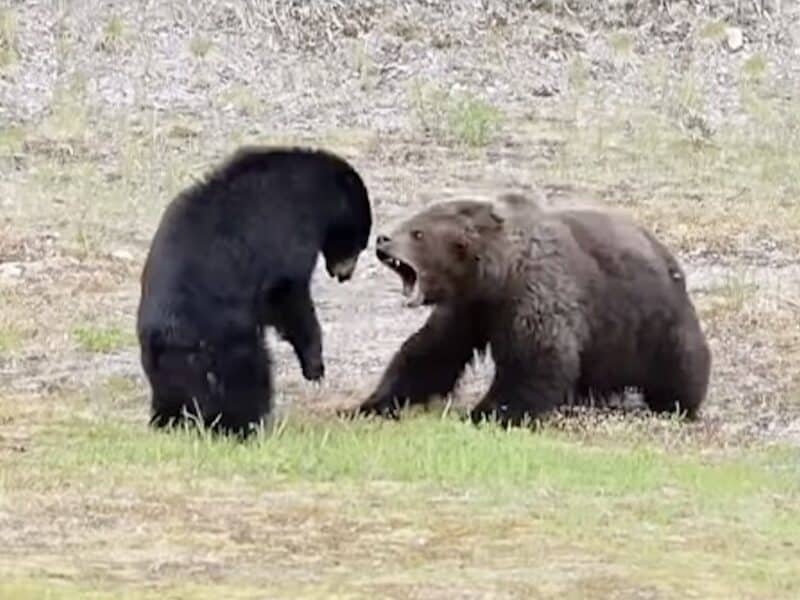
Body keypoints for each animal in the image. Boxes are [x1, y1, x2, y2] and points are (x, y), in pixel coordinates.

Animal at [137, 146, 372, 437]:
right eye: (360, 242)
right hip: (224, 347)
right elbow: (287, 294)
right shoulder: (288, 228)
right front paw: (314, 365)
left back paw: (168, 421)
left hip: (167, 367)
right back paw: (248, 425)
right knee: (249, 380)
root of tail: (165, 338)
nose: (345, 275)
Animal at [356, 193, 711, 427]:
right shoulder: (469, 308)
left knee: (682, 364)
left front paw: (484, 413)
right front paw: (371, 403)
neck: (496, 276)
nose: (382, 239)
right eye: (412, 221)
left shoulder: (536, 294)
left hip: (656, 319)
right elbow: (431, 354)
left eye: (417, 232)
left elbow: (536, 361)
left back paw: (675, 404)